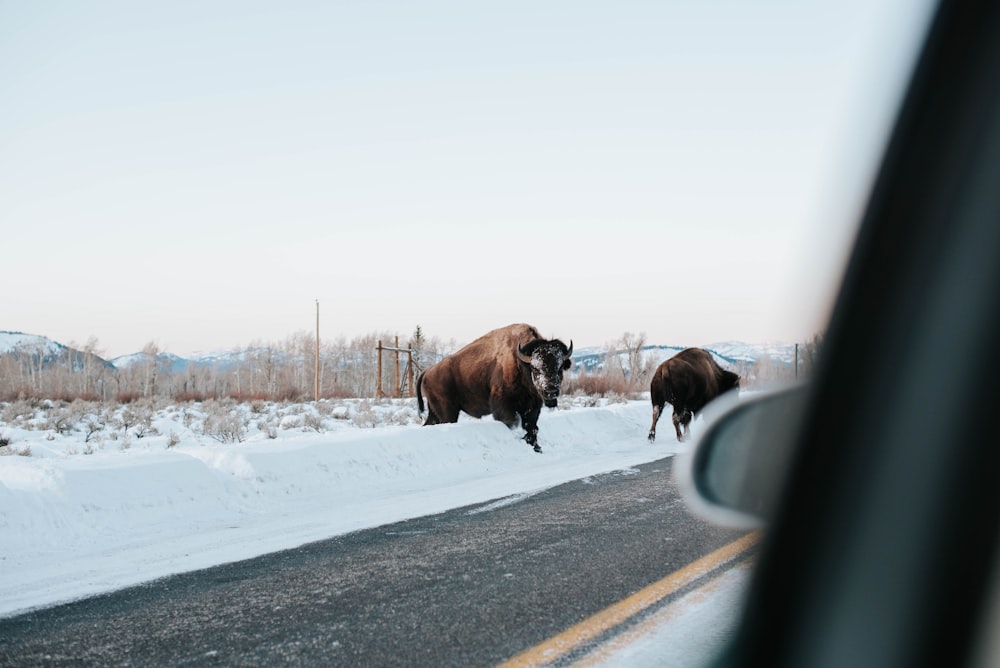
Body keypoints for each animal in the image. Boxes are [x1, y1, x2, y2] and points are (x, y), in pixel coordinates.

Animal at [414, 324, 572, 454]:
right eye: (535, 368)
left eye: (560, 367)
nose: (550, 391)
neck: (520, 364)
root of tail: (427, 370)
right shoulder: (503, 405)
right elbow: (512, 421)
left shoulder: (533, 406)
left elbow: (532, 426)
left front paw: (537, 448)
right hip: (448, 412)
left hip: (435, 412)